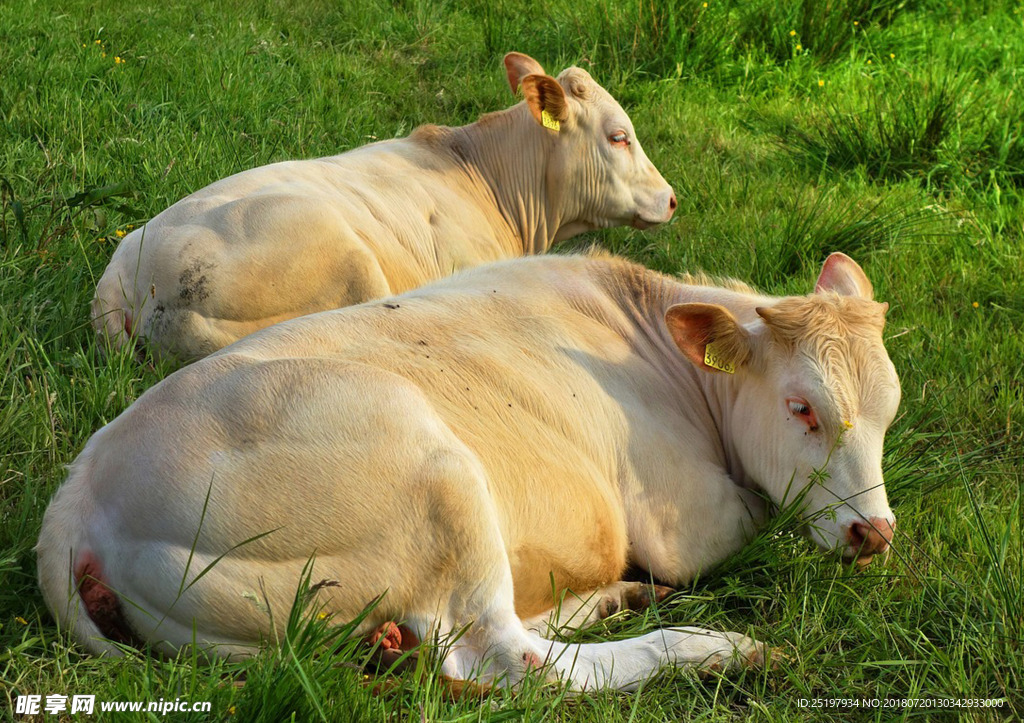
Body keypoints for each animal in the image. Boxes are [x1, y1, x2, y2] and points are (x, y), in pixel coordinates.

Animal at [44, 250, 901, 688]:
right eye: (802, 407)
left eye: (890, 410)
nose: (876, 533)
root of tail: (80, 492)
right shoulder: (688, 520)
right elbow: (763, 521)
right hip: (438, 474)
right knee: (507, 659)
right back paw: (713, 644)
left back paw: (609, 598)